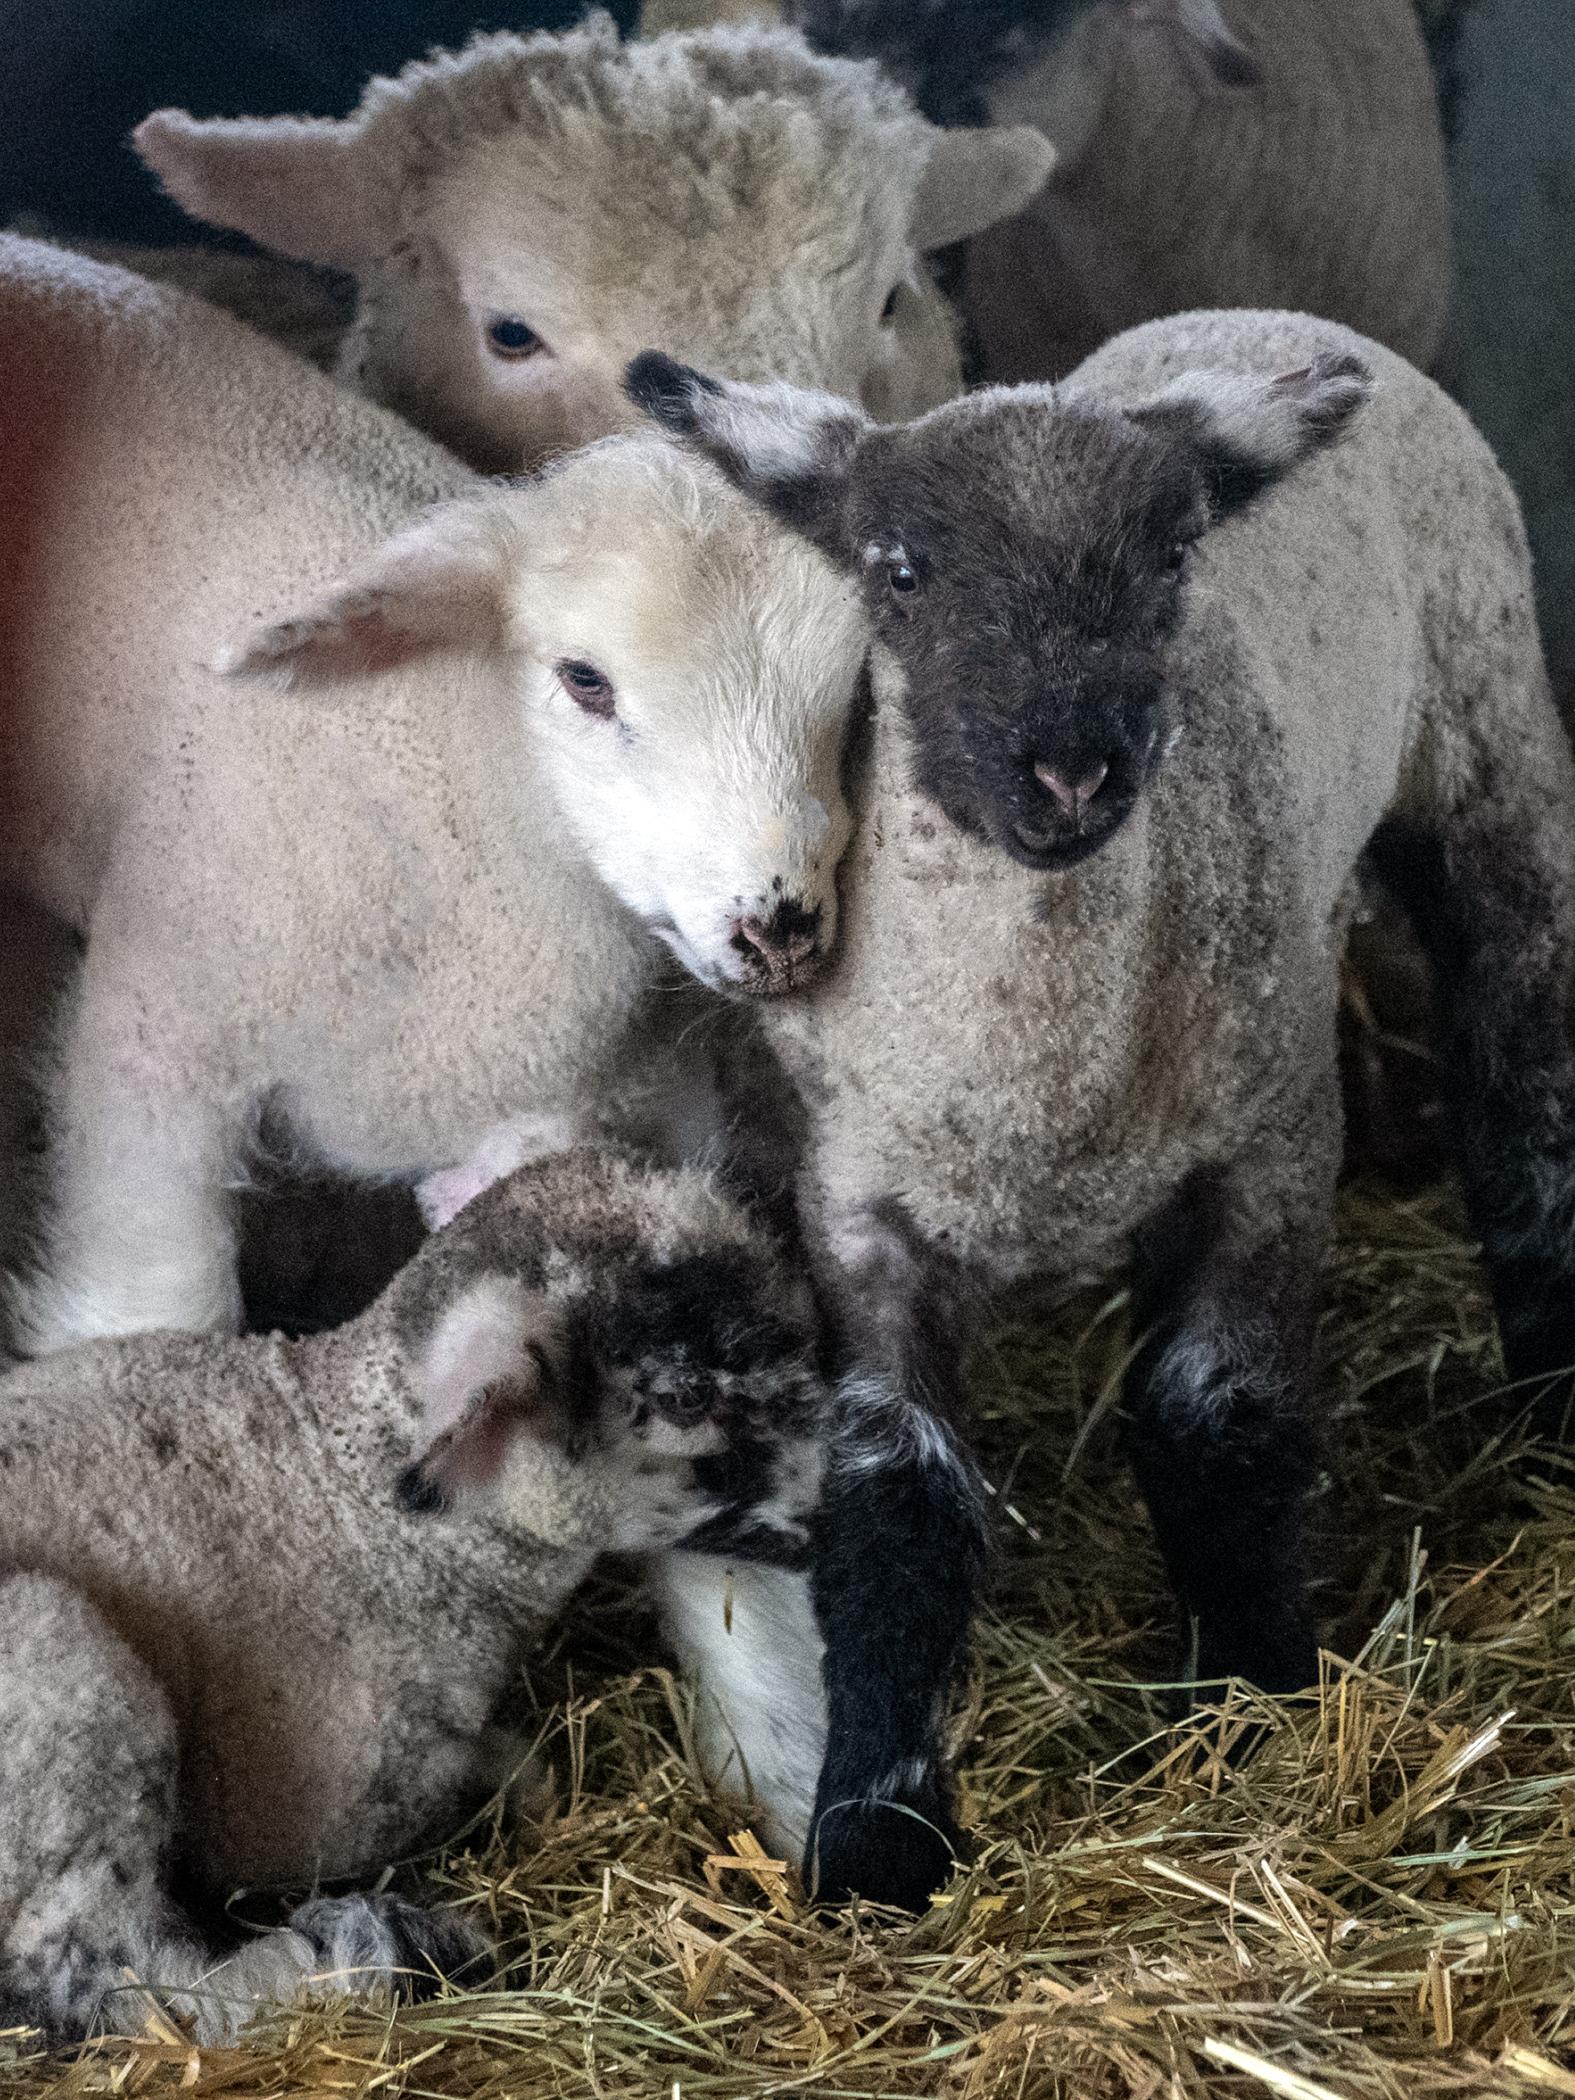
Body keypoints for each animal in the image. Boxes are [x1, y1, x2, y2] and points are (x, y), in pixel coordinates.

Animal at [0, 1145, 831, 2044]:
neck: (350, 1494)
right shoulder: (310, 1806)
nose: (853, 1489)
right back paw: (365, 1959)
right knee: (117, 1973)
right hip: (63, 1681)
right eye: (686, 1397)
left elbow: (531, 1769)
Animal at [626, 306, 1575, 1905]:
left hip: (1490, 738)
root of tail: (1269, 324)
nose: (1068, 771)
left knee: (1524, 1086)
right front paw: (875, 1836)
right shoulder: (860, 1214)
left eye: (1173, 559)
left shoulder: (1267, 1147)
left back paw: (1557, 1391)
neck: (1035, 1081)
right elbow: (892, 1499)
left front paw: (1254, 1697)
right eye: (898, 568)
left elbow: (1214, 1420)